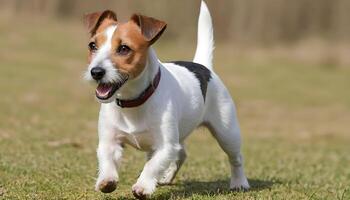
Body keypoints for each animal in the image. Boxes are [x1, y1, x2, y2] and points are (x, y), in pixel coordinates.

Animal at [83, 1, 250, 198]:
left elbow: (152, 166)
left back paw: (239, 182)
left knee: (236, 158)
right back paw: (166, 176)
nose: (96, 72)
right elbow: (108, 160)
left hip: (227, 133)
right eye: (92, 45)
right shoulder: (109, 141)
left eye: (124, 48)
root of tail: (203, 65)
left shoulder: (165, 146)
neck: (134, 101)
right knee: (181, 154)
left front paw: (143, 186)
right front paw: (107, 180)